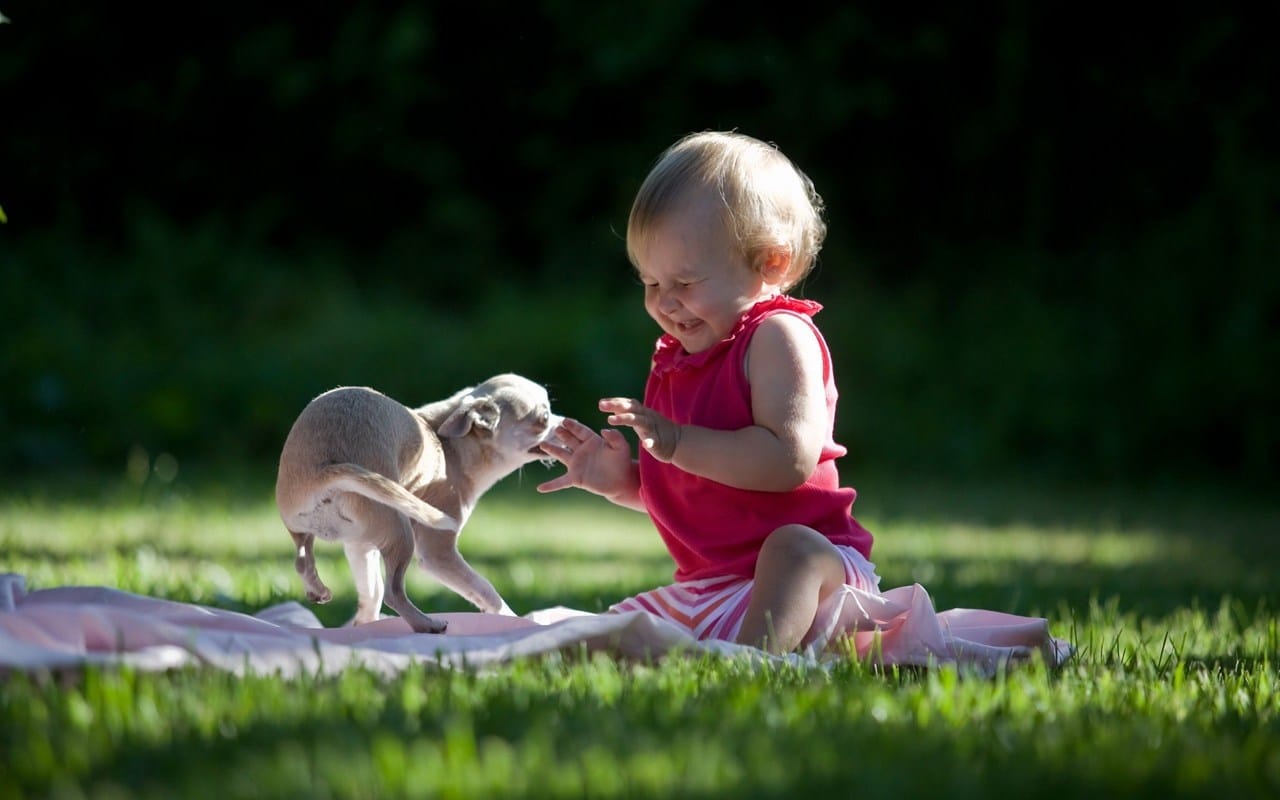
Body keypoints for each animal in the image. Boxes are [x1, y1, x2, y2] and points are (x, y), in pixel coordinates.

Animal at [275, 373, 560, 629]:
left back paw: (318, 589)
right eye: (544, 418)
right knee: (393, 592)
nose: (566, 422)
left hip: (305, 526)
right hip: (401, 533)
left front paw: (365, 624)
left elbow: (370, 591)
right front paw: (511, 617)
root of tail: (322, 472)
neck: (450, 446)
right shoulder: (438, 553)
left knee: (303, 559)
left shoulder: (359, 545)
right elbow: (483, 587)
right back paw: (426, 624)